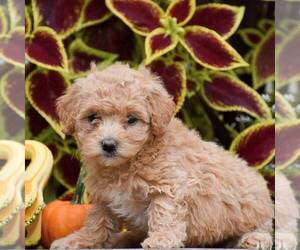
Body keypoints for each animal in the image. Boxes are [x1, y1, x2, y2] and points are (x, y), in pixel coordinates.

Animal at [51, 62, 274, 248]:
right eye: (93, 117)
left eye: (131, 119)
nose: (108, 144)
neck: (127, 164)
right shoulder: (105, 197)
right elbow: (98, 221)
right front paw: (82, 240)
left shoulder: (169, 185)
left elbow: (164, 213)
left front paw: (161, 240)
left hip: (252, 206)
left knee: (264, 227)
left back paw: (253, 238)